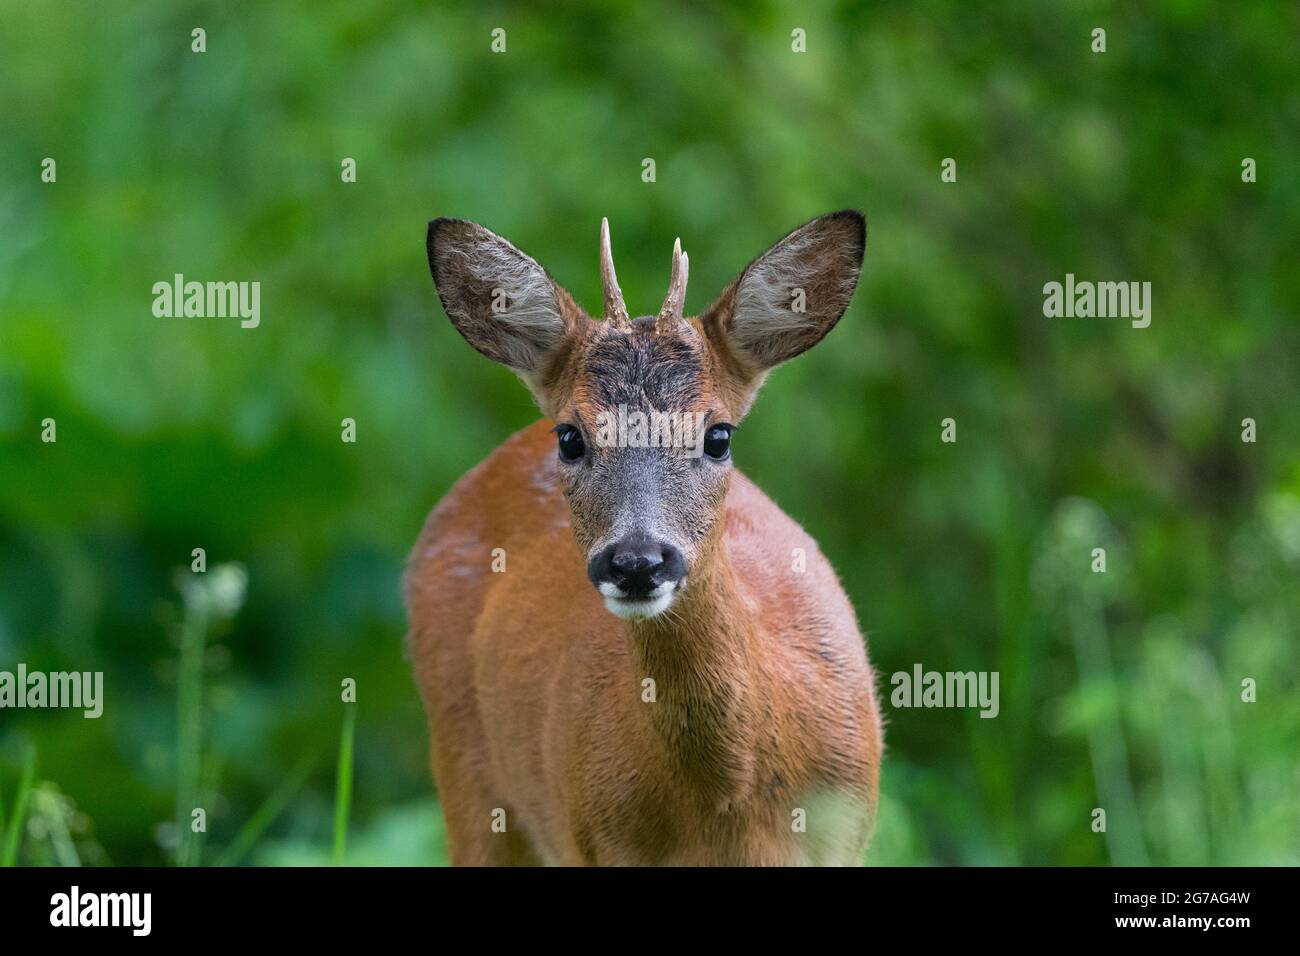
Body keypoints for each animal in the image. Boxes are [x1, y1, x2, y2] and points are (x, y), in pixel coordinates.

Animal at [405, 210, 883, 868]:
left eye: (719, 435)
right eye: (570, 437)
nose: (636, 561)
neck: (728, 800)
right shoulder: (596, 842)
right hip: (467, 775)